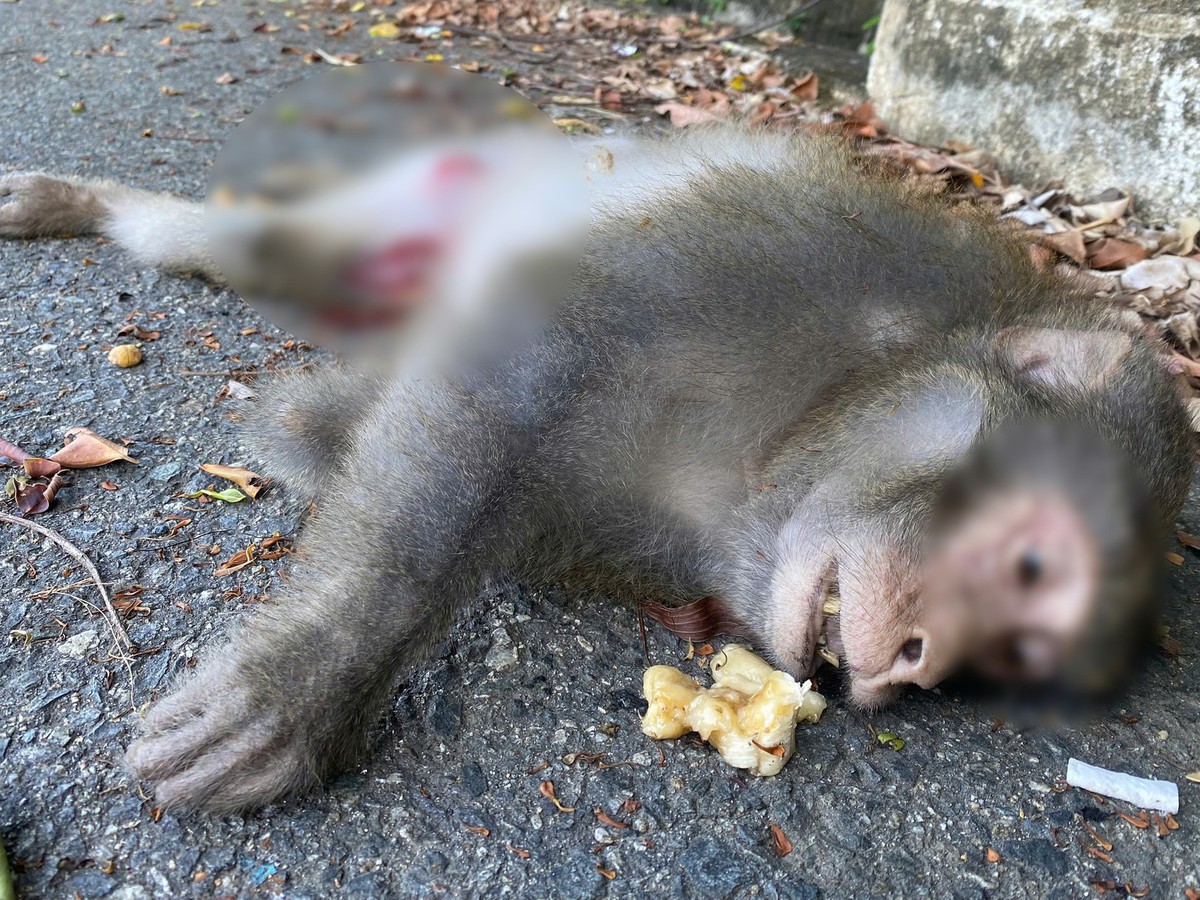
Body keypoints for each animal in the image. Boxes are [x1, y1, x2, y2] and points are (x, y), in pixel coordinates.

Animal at [1, 127, 1193, 812]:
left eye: (1009, 654)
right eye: (1033, 564)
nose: (917, 661)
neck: (816, 406)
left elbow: (328, 422)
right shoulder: (798, 253)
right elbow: (526, 345)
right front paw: (300, 694)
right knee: (259, 250)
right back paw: (76, 203)